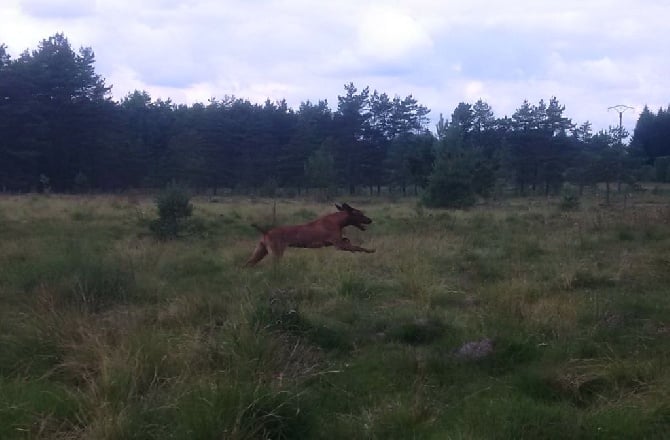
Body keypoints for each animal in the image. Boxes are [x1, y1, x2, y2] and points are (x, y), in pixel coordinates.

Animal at [244, 204, 376, 268]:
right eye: (360, 214)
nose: (370, 220)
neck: (338, 221)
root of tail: (266, 232)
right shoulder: (338, 245)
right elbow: (358, 247)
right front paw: (370, 250)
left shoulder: (338, 242)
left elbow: (348, 241)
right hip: (276, 253)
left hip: (260, 251)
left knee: (247, 264)